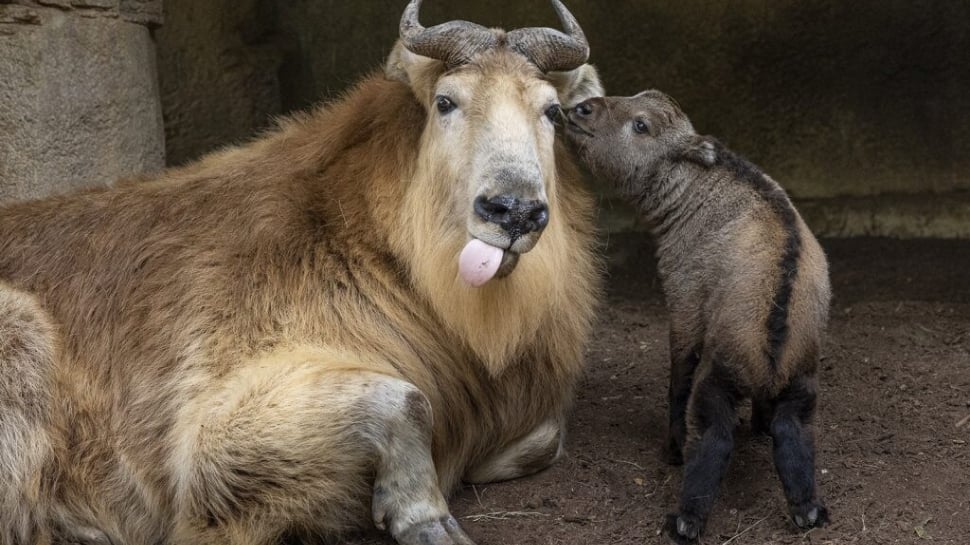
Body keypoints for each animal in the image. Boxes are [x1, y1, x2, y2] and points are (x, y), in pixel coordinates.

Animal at [568, 91, 832, 540]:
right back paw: (805, 509)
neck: (697, 188)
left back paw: (687, 519)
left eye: (641, 125)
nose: (581, 109)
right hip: (800, 383)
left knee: (715, 437)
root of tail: (774, 334)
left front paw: (671, 448)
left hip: (719, 381)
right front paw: (758, 428)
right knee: (792, 431)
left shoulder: (684, 302)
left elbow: (678, 379)